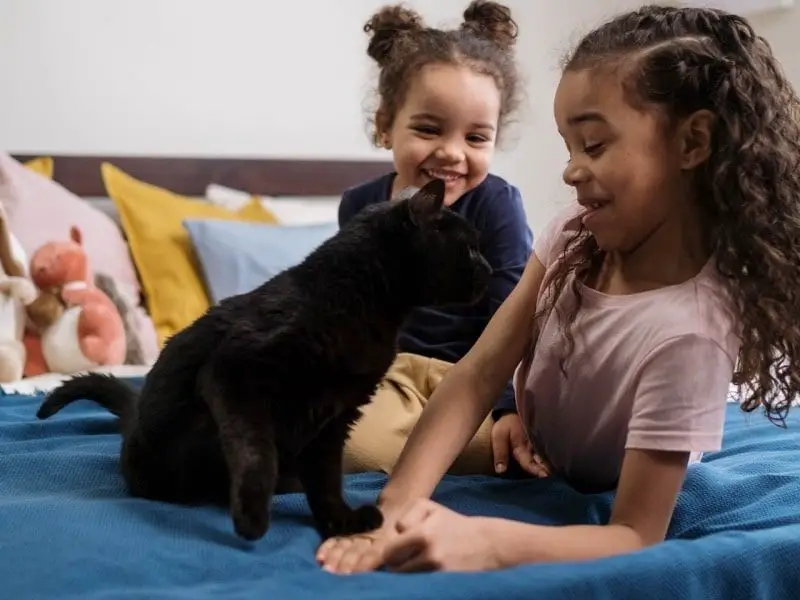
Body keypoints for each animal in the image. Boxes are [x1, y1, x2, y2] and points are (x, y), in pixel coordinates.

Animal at [36, 179, 494, 544]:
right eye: (470, 247)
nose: (490, 270)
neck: (360, 300)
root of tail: (132, 423)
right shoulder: (237, 375)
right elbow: (257, 452)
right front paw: (252, 518)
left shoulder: (336, 417)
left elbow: (327, 477)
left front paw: (338, 522)